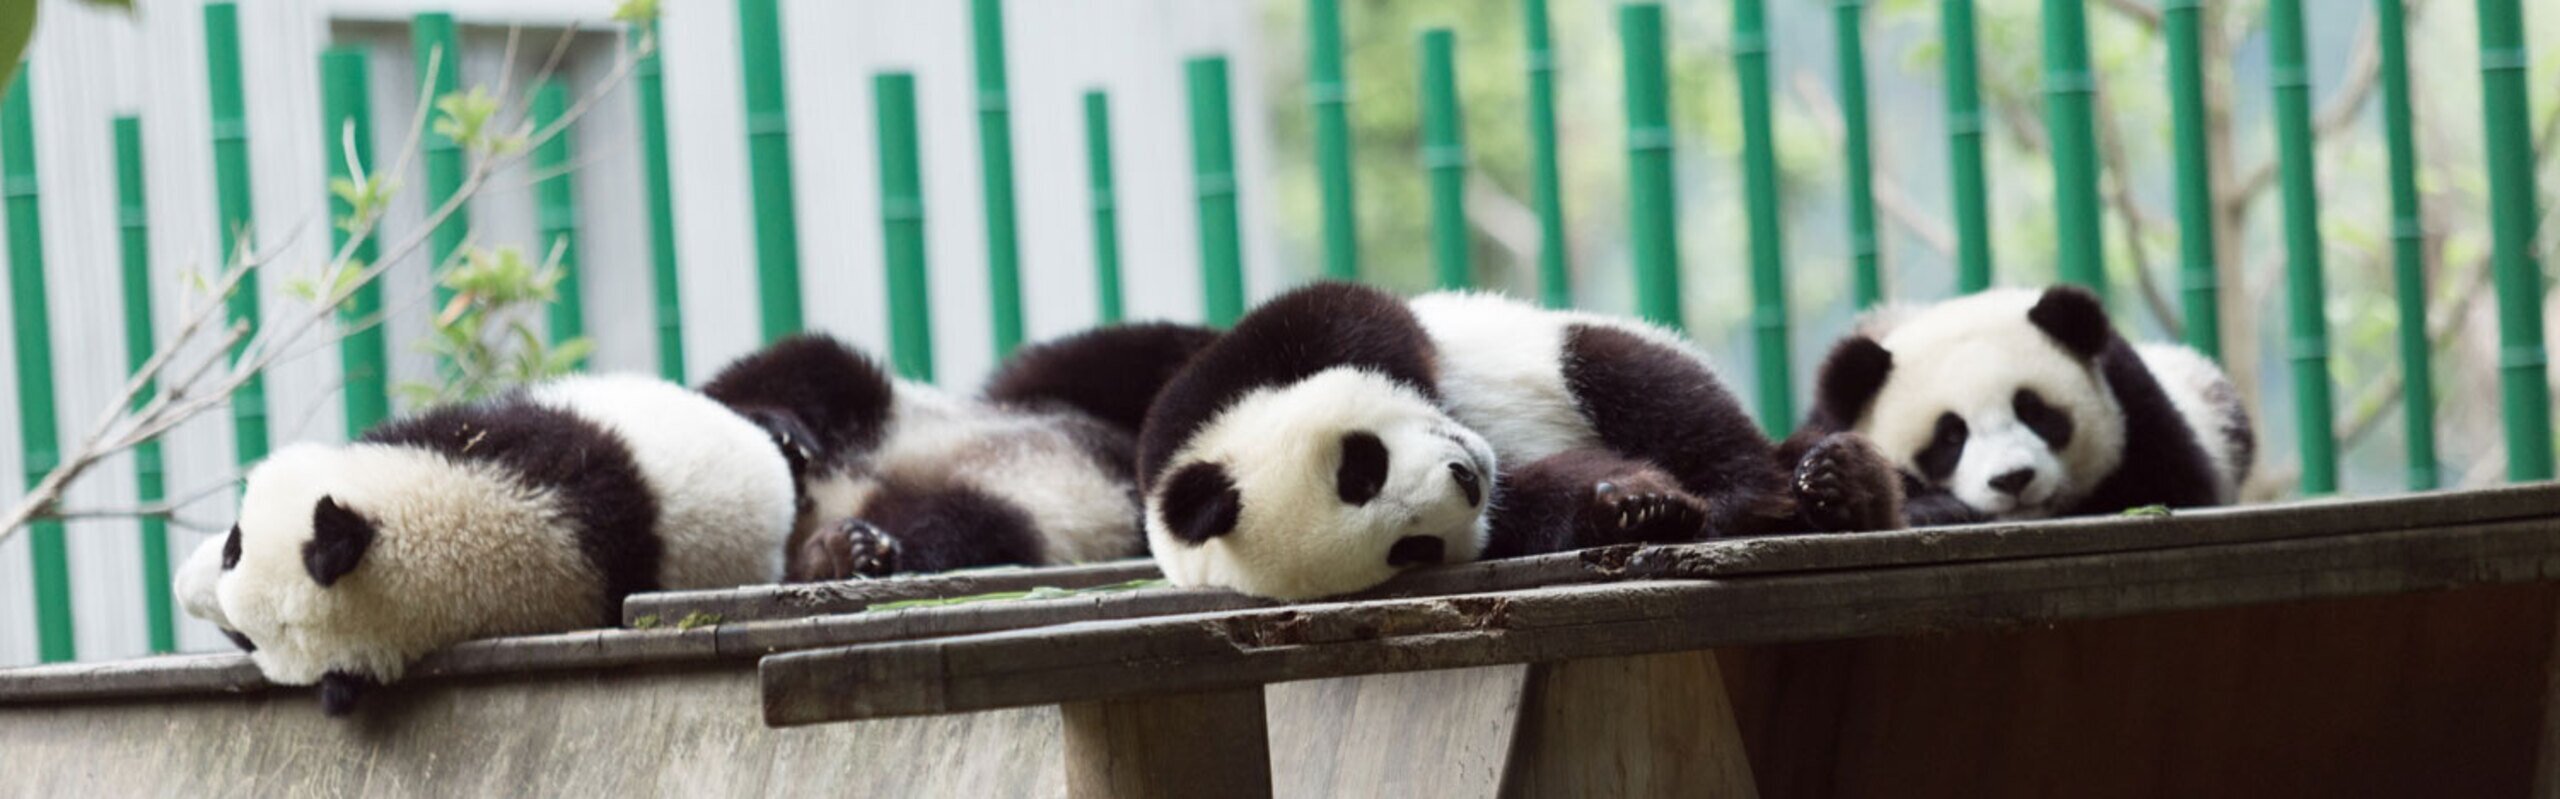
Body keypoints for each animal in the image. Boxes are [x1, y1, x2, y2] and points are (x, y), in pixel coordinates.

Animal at [701, 324, 1217, 581]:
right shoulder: (1044, 386)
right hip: (886, 412)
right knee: (816, 367)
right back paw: (783, 440)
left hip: (1023, 517)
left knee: (963, 527)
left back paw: (838, 553)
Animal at [1137, 283, 1902, 600]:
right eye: (1411, 548)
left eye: (1360, 468)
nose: (1466, 478)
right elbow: (1533, 511)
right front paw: (1634, 507)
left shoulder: (1215, 381)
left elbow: (1362, 321)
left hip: (1572, 345)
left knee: (1647, 384)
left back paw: (1811, 485)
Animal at [1786, 285, 2254, 525]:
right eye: (1951, 436)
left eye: (2033, 412)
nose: (2012, 479)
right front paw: (1841, 483)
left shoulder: (2141, 412)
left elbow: (2173, 488)